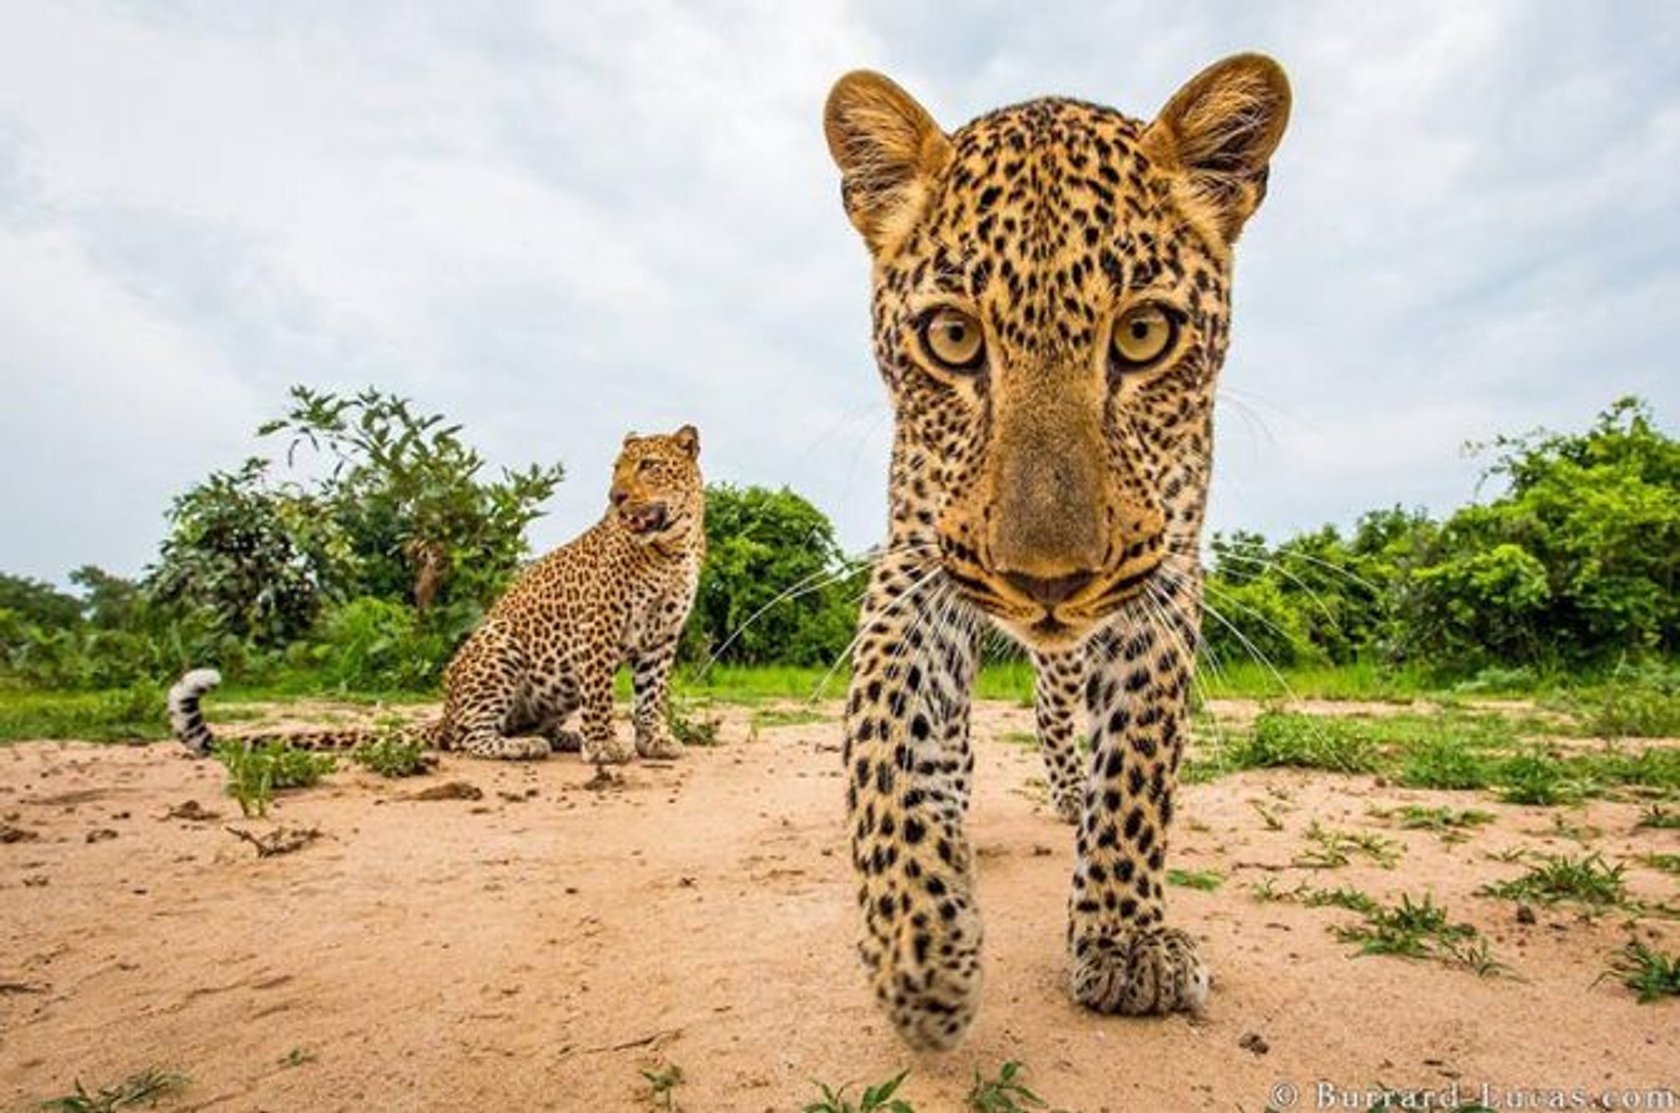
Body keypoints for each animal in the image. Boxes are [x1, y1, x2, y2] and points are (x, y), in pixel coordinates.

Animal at [175, 427, 708, 766]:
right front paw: (602, 747)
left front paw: (654, 741)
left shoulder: (663, 635)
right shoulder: (599, 624)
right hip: (499, 645)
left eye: (648, 466)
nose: (616, 497)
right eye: (617, 469)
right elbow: (601, 693)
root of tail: (445, 712)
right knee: (468, 738)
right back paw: (523, 747)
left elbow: (651, 694)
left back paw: (557, 735)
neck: (672, 547)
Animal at [823, 52, 1283, 1049]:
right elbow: (884, 732)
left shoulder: (1164, 576)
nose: (1048, 582)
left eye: (1144, 333)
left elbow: (1140, 759)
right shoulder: (916, 561)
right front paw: (920, 947)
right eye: (952, 337)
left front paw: (1124, 938)